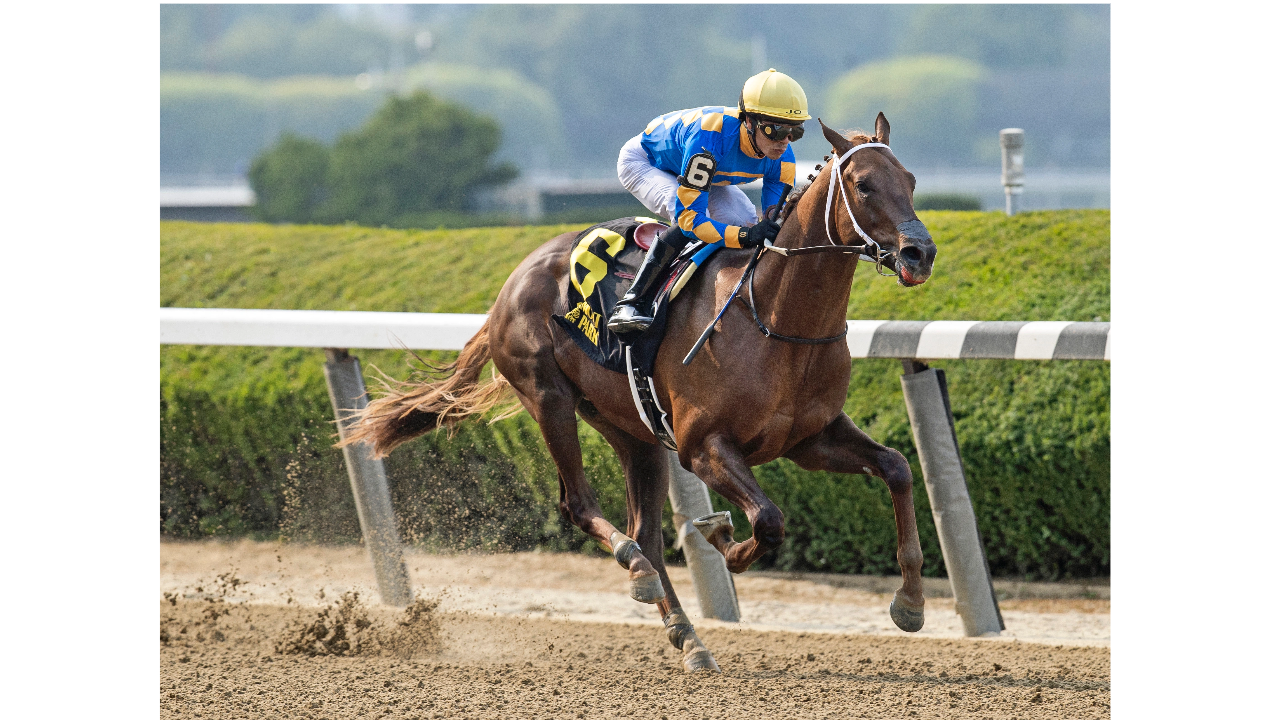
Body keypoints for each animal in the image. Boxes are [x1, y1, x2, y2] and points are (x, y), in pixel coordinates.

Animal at [345, 113, 938, 674]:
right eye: (863, 185)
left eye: (910, 179)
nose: (920, 252)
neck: (773, 317)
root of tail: (509, 286)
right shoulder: (703, 447)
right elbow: (768, 521)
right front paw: (721, 537)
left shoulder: (810, 439)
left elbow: (897, 467)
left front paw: (910, 603)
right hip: (549, 398)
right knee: (581, 506)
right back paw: (636, 569)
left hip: (632, 430)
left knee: (646, 532)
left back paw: (688, 637)